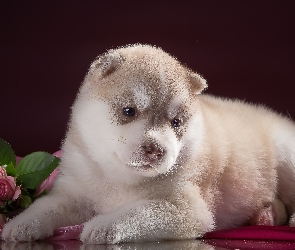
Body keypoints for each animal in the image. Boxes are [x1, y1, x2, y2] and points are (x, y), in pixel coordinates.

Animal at [2, 44, 295, 243]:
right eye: (129, 111)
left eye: (176, 122)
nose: (156, 150)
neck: (118, 176)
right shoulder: (74, 192)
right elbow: (46, 207)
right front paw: (20, 224)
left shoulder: (186, 208)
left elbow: (138, 211)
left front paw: (103, 225)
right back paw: (267, 215)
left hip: (286, 155)